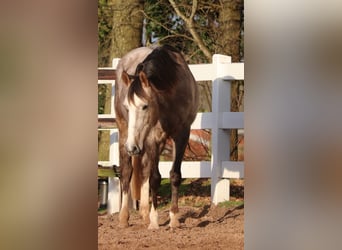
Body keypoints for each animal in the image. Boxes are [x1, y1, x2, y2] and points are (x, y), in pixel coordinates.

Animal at [114, 45, 198, 229]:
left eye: (145, 106)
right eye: (127, 107)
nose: (132, 147)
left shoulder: (182, 134)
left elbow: (174, 175)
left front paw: (174, 219)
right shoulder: (154, 138)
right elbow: (155, 178)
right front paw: (154, 221)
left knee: (144, 170)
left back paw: (145, 214)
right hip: (125, 133)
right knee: (127, 172)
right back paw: (124, 217)